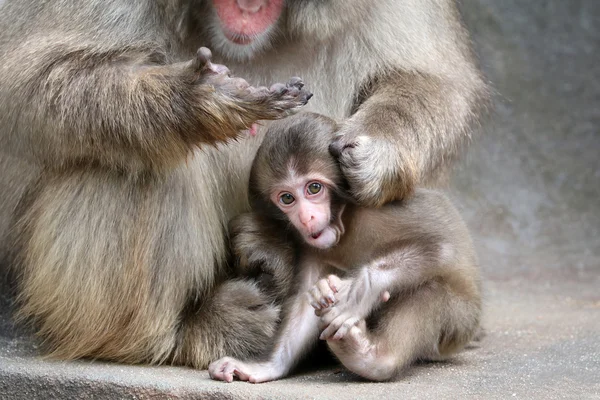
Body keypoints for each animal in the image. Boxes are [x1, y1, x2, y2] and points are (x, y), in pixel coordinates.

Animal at [209, 112, 480, 382]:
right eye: (287, 198)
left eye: (314, 188)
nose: (305, 217)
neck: (345, 220)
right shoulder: (310, 245)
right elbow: (302, 304)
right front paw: (266, 367)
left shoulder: (378, 212)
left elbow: (444, 246)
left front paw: (357, 292)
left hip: (459, 324)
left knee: (430, 289)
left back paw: (372, 358)